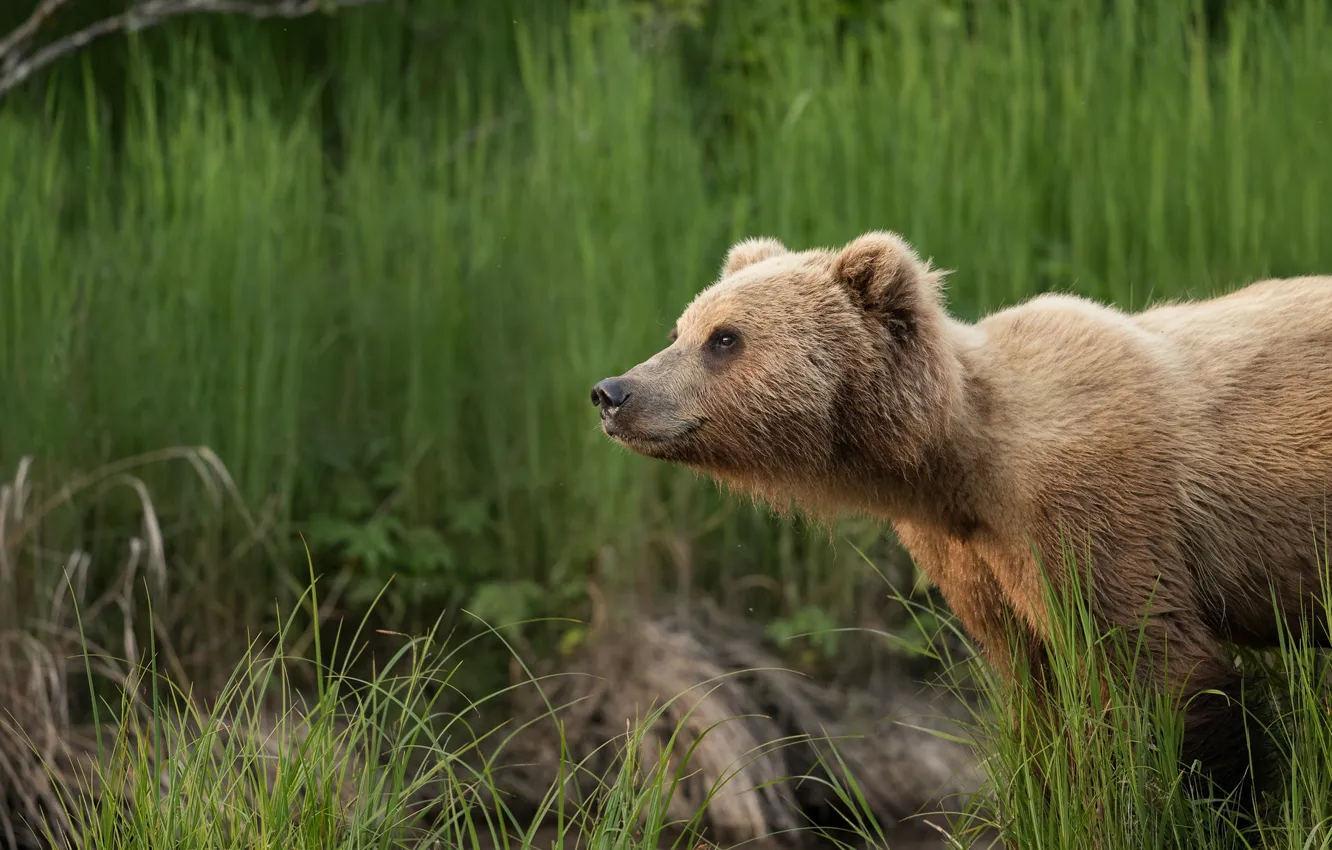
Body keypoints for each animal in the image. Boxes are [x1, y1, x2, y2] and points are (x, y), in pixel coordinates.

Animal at [591, 229, 1332, 810]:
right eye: (679, 330)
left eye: (726, 338)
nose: (612, 392)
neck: (960, 462)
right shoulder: (973, 552)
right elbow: (1036, 691)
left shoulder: (1095, 507)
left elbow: (1165, 668)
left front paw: (1212, 798)